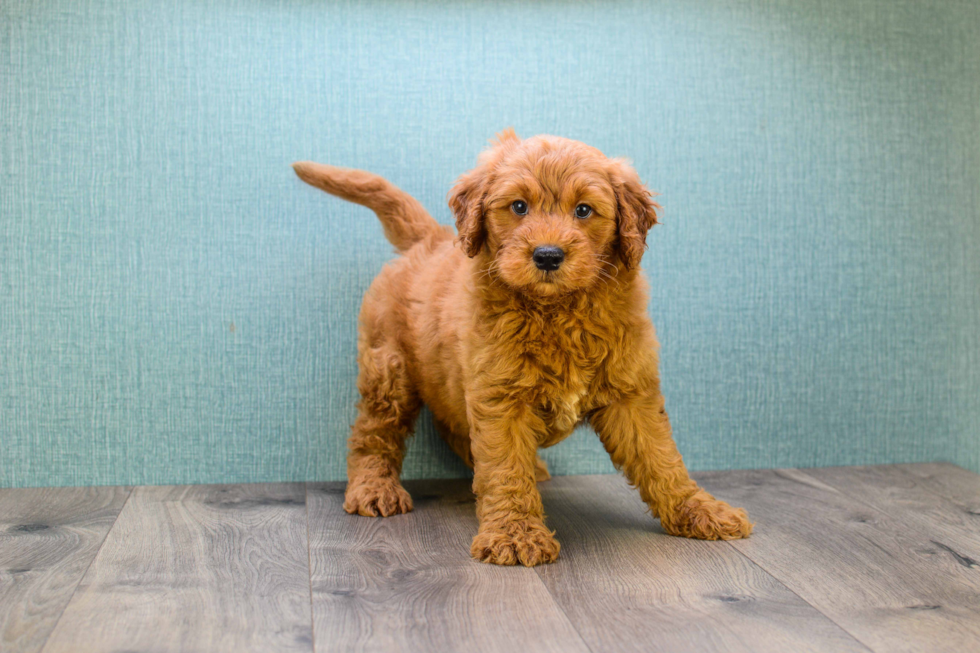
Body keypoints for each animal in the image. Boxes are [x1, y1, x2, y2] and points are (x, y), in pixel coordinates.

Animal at [294, 129, 756, 564]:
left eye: (583, 210)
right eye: (518, 207)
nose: (548, 255)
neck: (557, 311)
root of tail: (430, 238)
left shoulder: (631, 392)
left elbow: (662, 458)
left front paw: (700, 510)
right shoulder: (501, 398)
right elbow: (504, 467)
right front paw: (515, 535)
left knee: (452, 427)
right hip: (389, 370)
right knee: (374, 432)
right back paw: (374, 487)